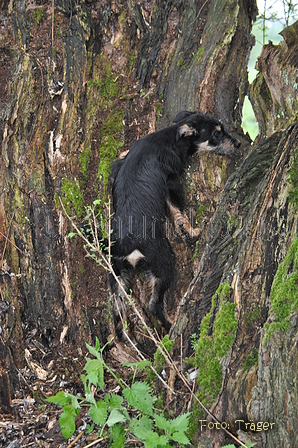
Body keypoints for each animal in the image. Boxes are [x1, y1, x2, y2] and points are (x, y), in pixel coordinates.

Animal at [108, 112, 241, 334]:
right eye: (216, 134)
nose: (238, 144)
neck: (169, 138)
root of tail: (128, 246)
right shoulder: (171, 181)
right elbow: (179, 211)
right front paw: (192, 231)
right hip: (164, 264)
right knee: (154, 305)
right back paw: (171, 324)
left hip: (116, 275)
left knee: (116, 313)